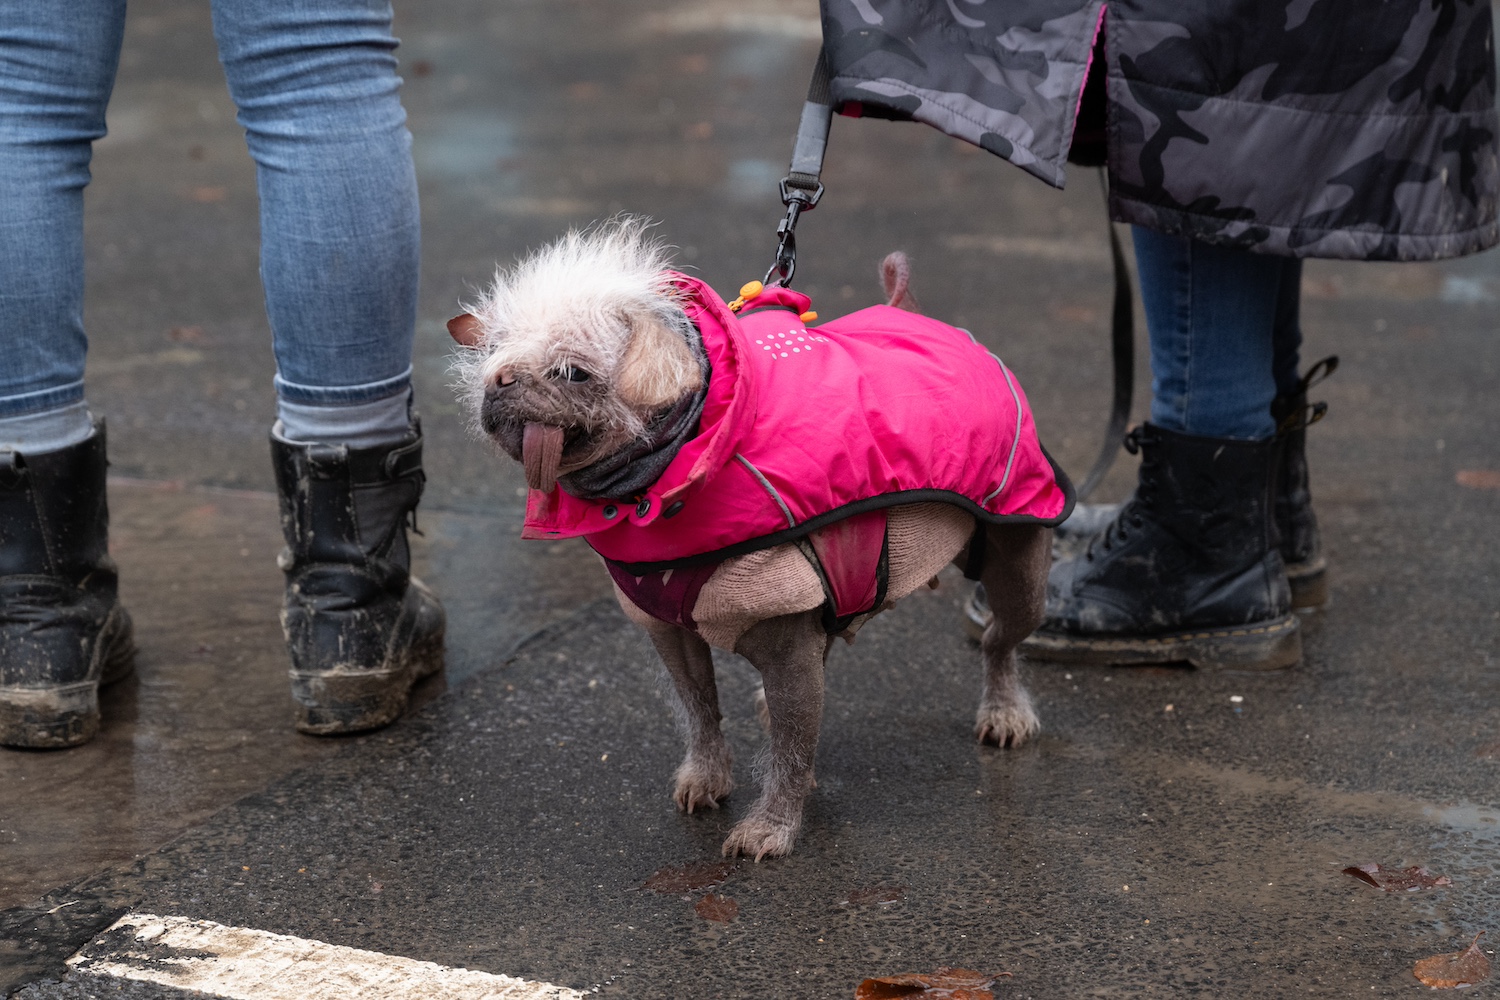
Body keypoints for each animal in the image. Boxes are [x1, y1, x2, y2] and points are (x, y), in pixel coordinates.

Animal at [447, 218, 1068, 863]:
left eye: (573, 372)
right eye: (491, 358)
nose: (501, 382)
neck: (680, 458)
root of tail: (911, 311)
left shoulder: (784, 633)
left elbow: (790, 752)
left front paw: (773, 825)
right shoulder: (672, 633)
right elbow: (699, 710)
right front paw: (707, 776)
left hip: (1020, 560)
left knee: (999, 638)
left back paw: (1005, 710)